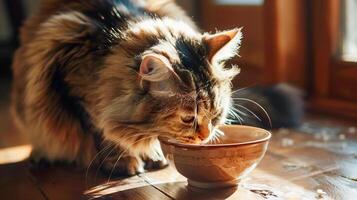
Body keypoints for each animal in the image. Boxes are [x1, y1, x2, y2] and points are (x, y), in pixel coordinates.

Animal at [12, 0, 243, 175]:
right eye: (188, 118)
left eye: (216, 114)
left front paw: (154, 155)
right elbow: (105, 134)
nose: (205, 136)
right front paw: (123, 161)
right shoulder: (79, 96)